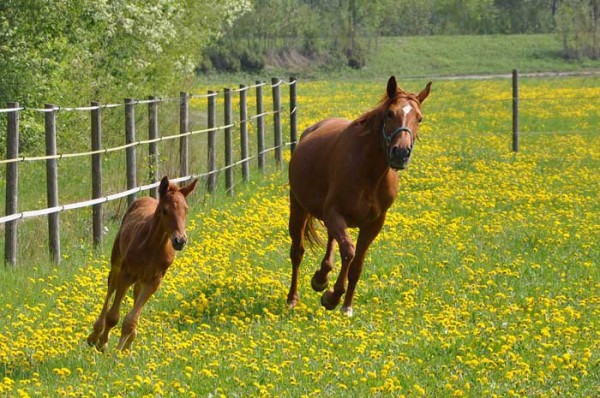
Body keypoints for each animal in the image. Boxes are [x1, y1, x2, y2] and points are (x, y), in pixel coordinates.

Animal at [86, 176, 197, 350]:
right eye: (165, 210)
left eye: (186, 210)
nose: (180, 241)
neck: (153, 247)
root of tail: (145, 198)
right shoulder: (126, 274)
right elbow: (113, 316)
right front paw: (103, 343)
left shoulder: (154, 281)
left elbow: (131, 320)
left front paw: (122, 349)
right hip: (117, 264)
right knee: (110, 289)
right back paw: (95, 335)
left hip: (141, 279)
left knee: (135, 293)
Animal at [288, 76, 432, 316]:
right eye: (390, 113)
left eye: (419, 118)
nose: (401, 153)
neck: (368, 172)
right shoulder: (335, 213)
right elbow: (349, 252)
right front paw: (332, 297)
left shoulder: (373, 223)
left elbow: (357, 264)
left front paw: (346, 305)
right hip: (299, 209)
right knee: (297, 252)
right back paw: (293, 298)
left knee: (330, 244)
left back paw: (321, 278)